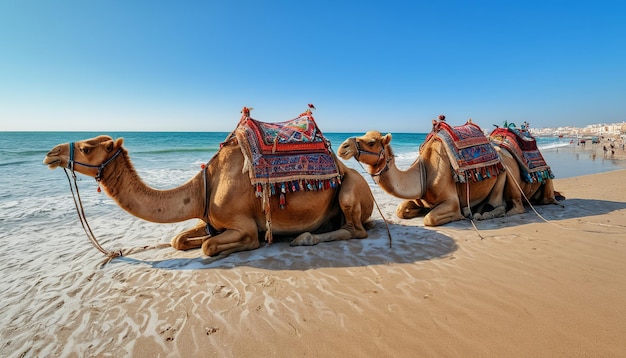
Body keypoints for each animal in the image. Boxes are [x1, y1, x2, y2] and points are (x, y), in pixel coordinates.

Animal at [45, 131, 376, 258]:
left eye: (87, 147)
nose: (51, 153)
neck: (206, 185)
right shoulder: (207, 216)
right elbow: (178, 239)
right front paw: (193, 240)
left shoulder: (242, 224)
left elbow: (213, 246)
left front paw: (230, 246)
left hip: (351, 187)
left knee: (355, 229)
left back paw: (304, 237)